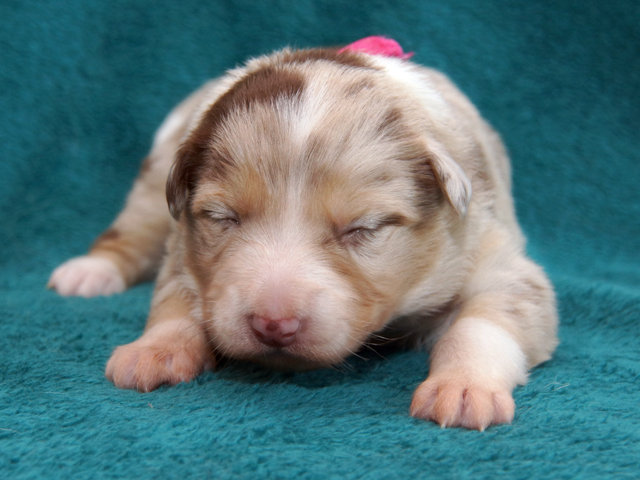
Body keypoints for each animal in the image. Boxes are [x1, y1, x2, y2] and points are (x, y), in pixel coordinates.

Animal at [48, 38, 558, 430]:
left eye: (362, 229)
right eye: (223, 217)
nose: (273, 324)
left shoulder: (491, 250)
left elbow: (489, 317)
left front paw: (464, 386)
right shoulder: (185, 244)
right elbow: (176, 297)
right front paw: (154, 350)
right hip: (155, 184)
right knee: (130, 230)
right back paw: (88, 272)